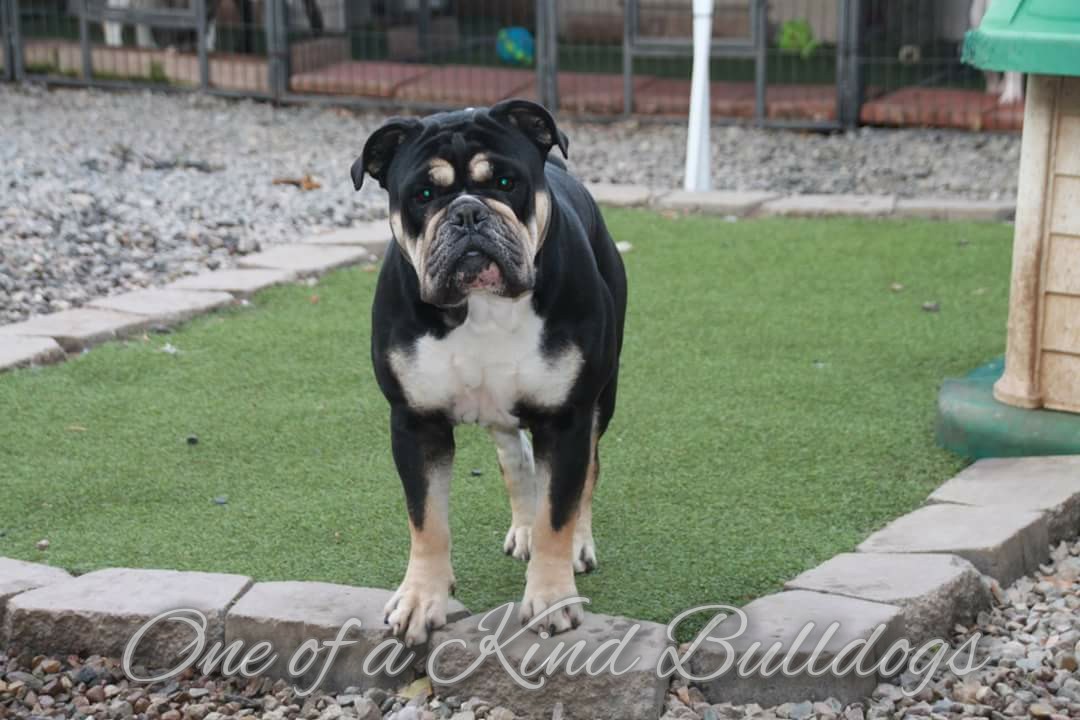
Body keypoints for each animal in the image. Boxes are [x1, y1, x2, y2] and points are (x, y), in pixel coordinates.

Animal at [351, 100, 627, 646]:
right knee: (515, 460)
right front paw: (422, 598)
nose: (466, 212)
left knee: (586, 470)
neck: (481, 307)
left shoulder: (567, 417)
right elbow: (427, 519)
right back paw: (523, 525)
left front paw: (551, 598)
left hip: (602, 396)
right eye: (423, 195)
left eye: (504, 182)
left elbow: (558, 510)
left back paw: (577, 543)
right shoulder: (415, 423)